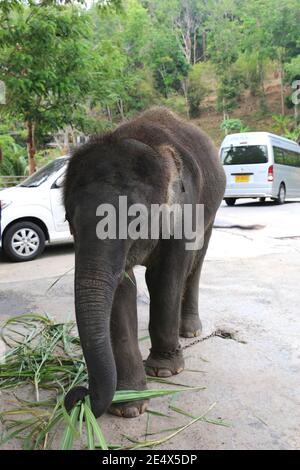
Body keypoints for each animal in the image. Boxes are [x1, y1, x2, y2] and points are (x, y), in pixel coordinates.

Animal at [64, 109, 226, 418]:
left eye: (137, 222)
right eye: (69, 221)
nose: (79, 395)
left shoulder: (184, 212)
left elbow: (164, 278)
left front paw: (164, 371)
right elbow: (122, 288)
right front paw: (130, 405)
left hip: (212, 209)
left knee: (196, 262)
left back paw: (189, 331)